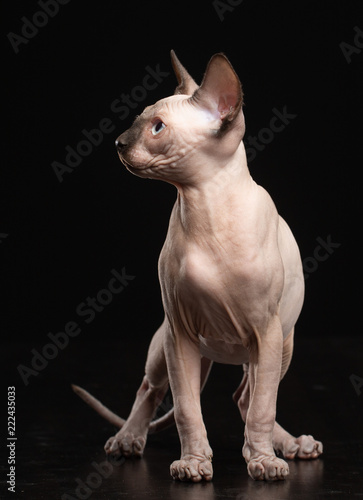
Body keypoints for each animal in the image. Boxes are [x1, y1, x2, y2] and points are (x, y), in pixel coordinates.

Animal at [72, 49, 322, 480]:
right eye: (138, 120)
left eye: (157, 127)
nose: (118, 142)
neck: (205, 206)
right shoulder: (180, 333)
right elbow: (187, 409)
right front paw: (192, 463)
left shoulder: (267, 332)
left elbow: (262, 406)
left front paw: (262, 461)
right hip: (166, 345)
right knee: (152, 390)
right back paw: (127, 438)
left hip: (280, 347)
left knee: (249, 398)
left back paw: (288, 445)